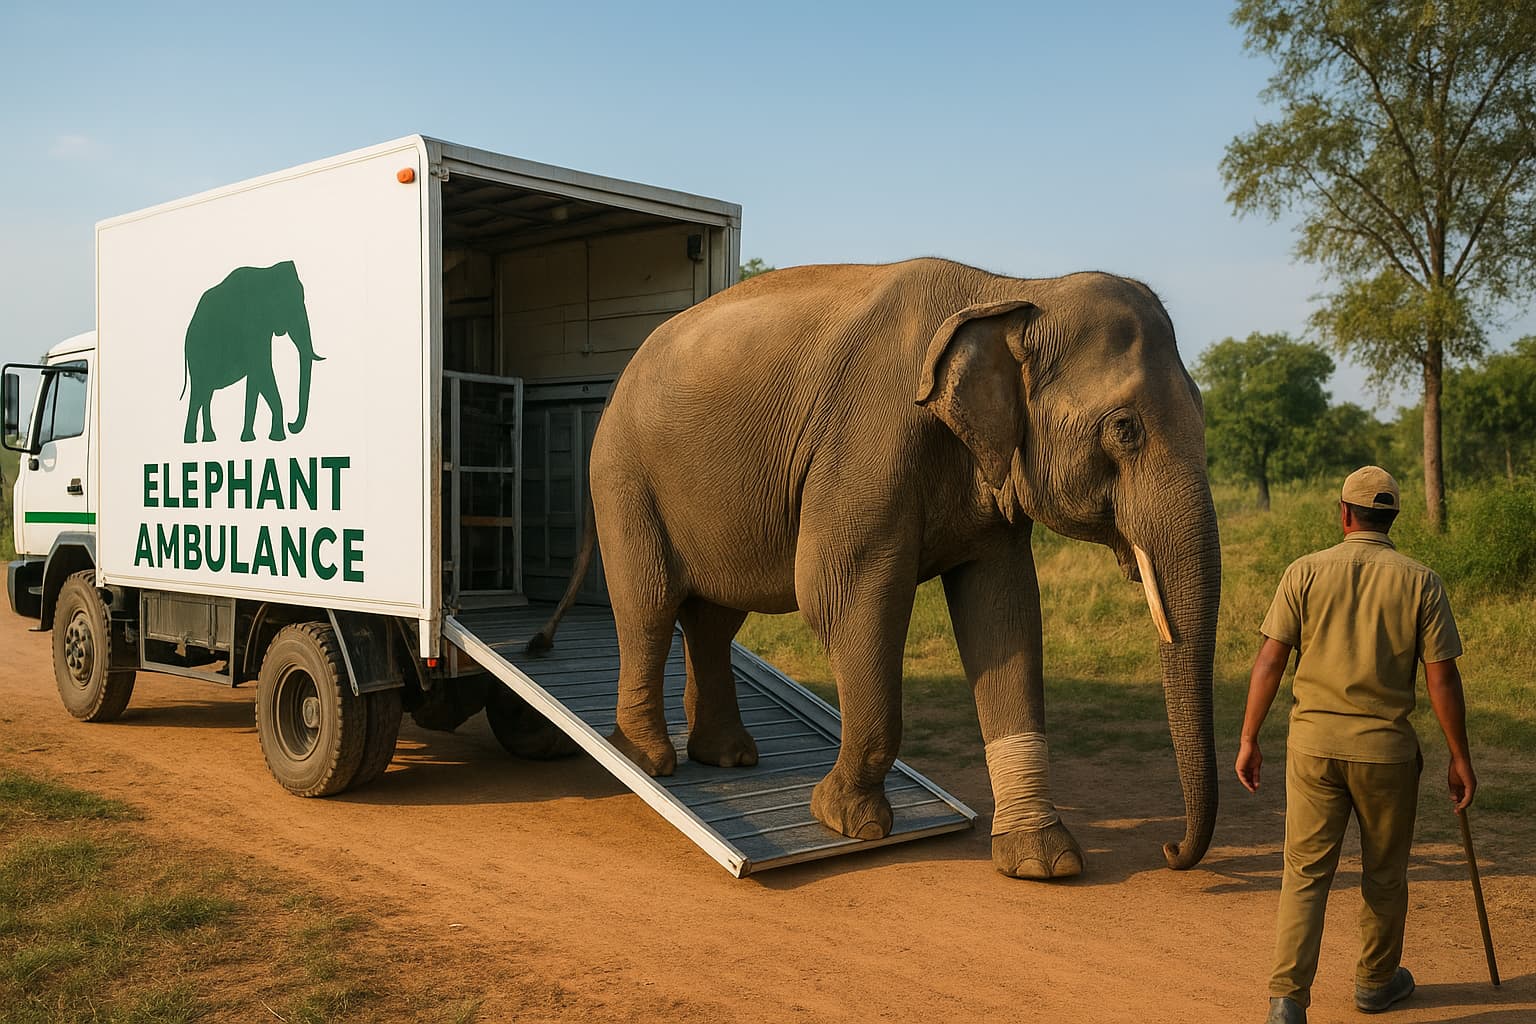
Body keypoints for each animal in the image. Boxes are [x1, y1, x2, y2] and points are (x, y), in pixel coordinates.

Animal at [181, 260, 323, 443]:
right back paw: (191, 441)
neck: (266, 273)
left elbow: (255, 379)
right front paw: (278, 438)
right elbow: (262, 370)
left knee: (206, 395)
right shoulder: (251, 326)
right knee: (199, 393)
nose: (292, 425)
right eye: (288, 302)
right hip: (198, 355)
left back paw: (209, 439)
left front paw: (248, 439)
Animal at [533, 258, 1220, 880]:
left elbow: (1004, 611)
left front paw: (1041, 862)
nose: (1170, 851)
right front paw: (847, 823)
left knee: (714, 621)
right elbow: (840, 594)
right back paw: (649, 761)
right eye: (1126, 429)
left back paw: (727, 759)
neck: (1012, 291)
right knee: (647, 605)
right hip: (624, 476)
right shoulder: (866, 446)